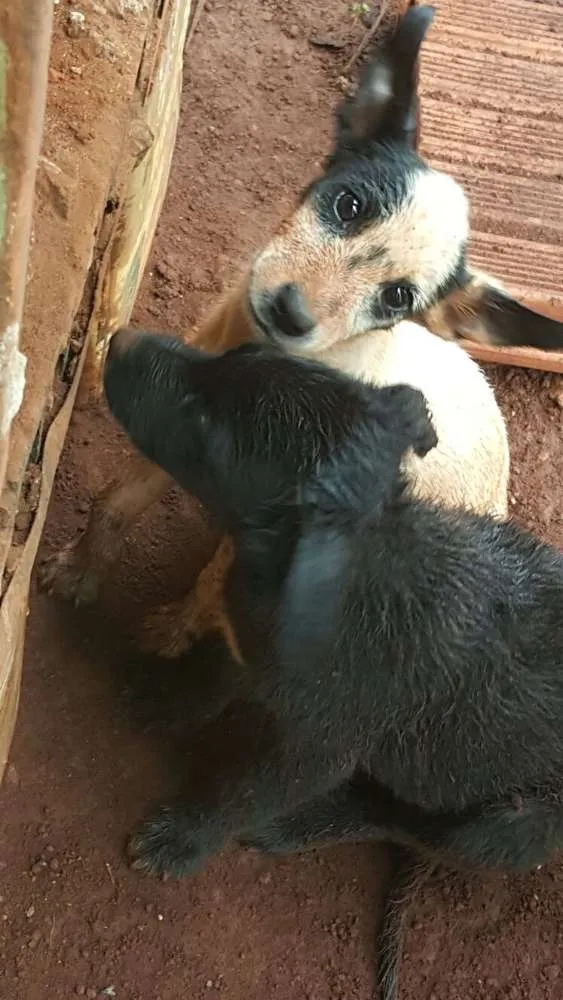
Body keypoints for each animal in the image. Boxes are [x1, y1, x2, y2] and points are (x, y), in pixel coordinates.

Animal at [103, 332, 563, 1000]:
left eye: (208, 425)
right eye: (232, 355)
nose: (117, 342)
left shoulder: (315, 750)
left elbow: (240, 794)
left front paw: (184, 840)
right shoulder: (248, 643)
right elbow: (212, 673)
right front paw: (163, 699)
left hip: (514, 821)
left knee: (404, 824)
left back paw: (308, 824)